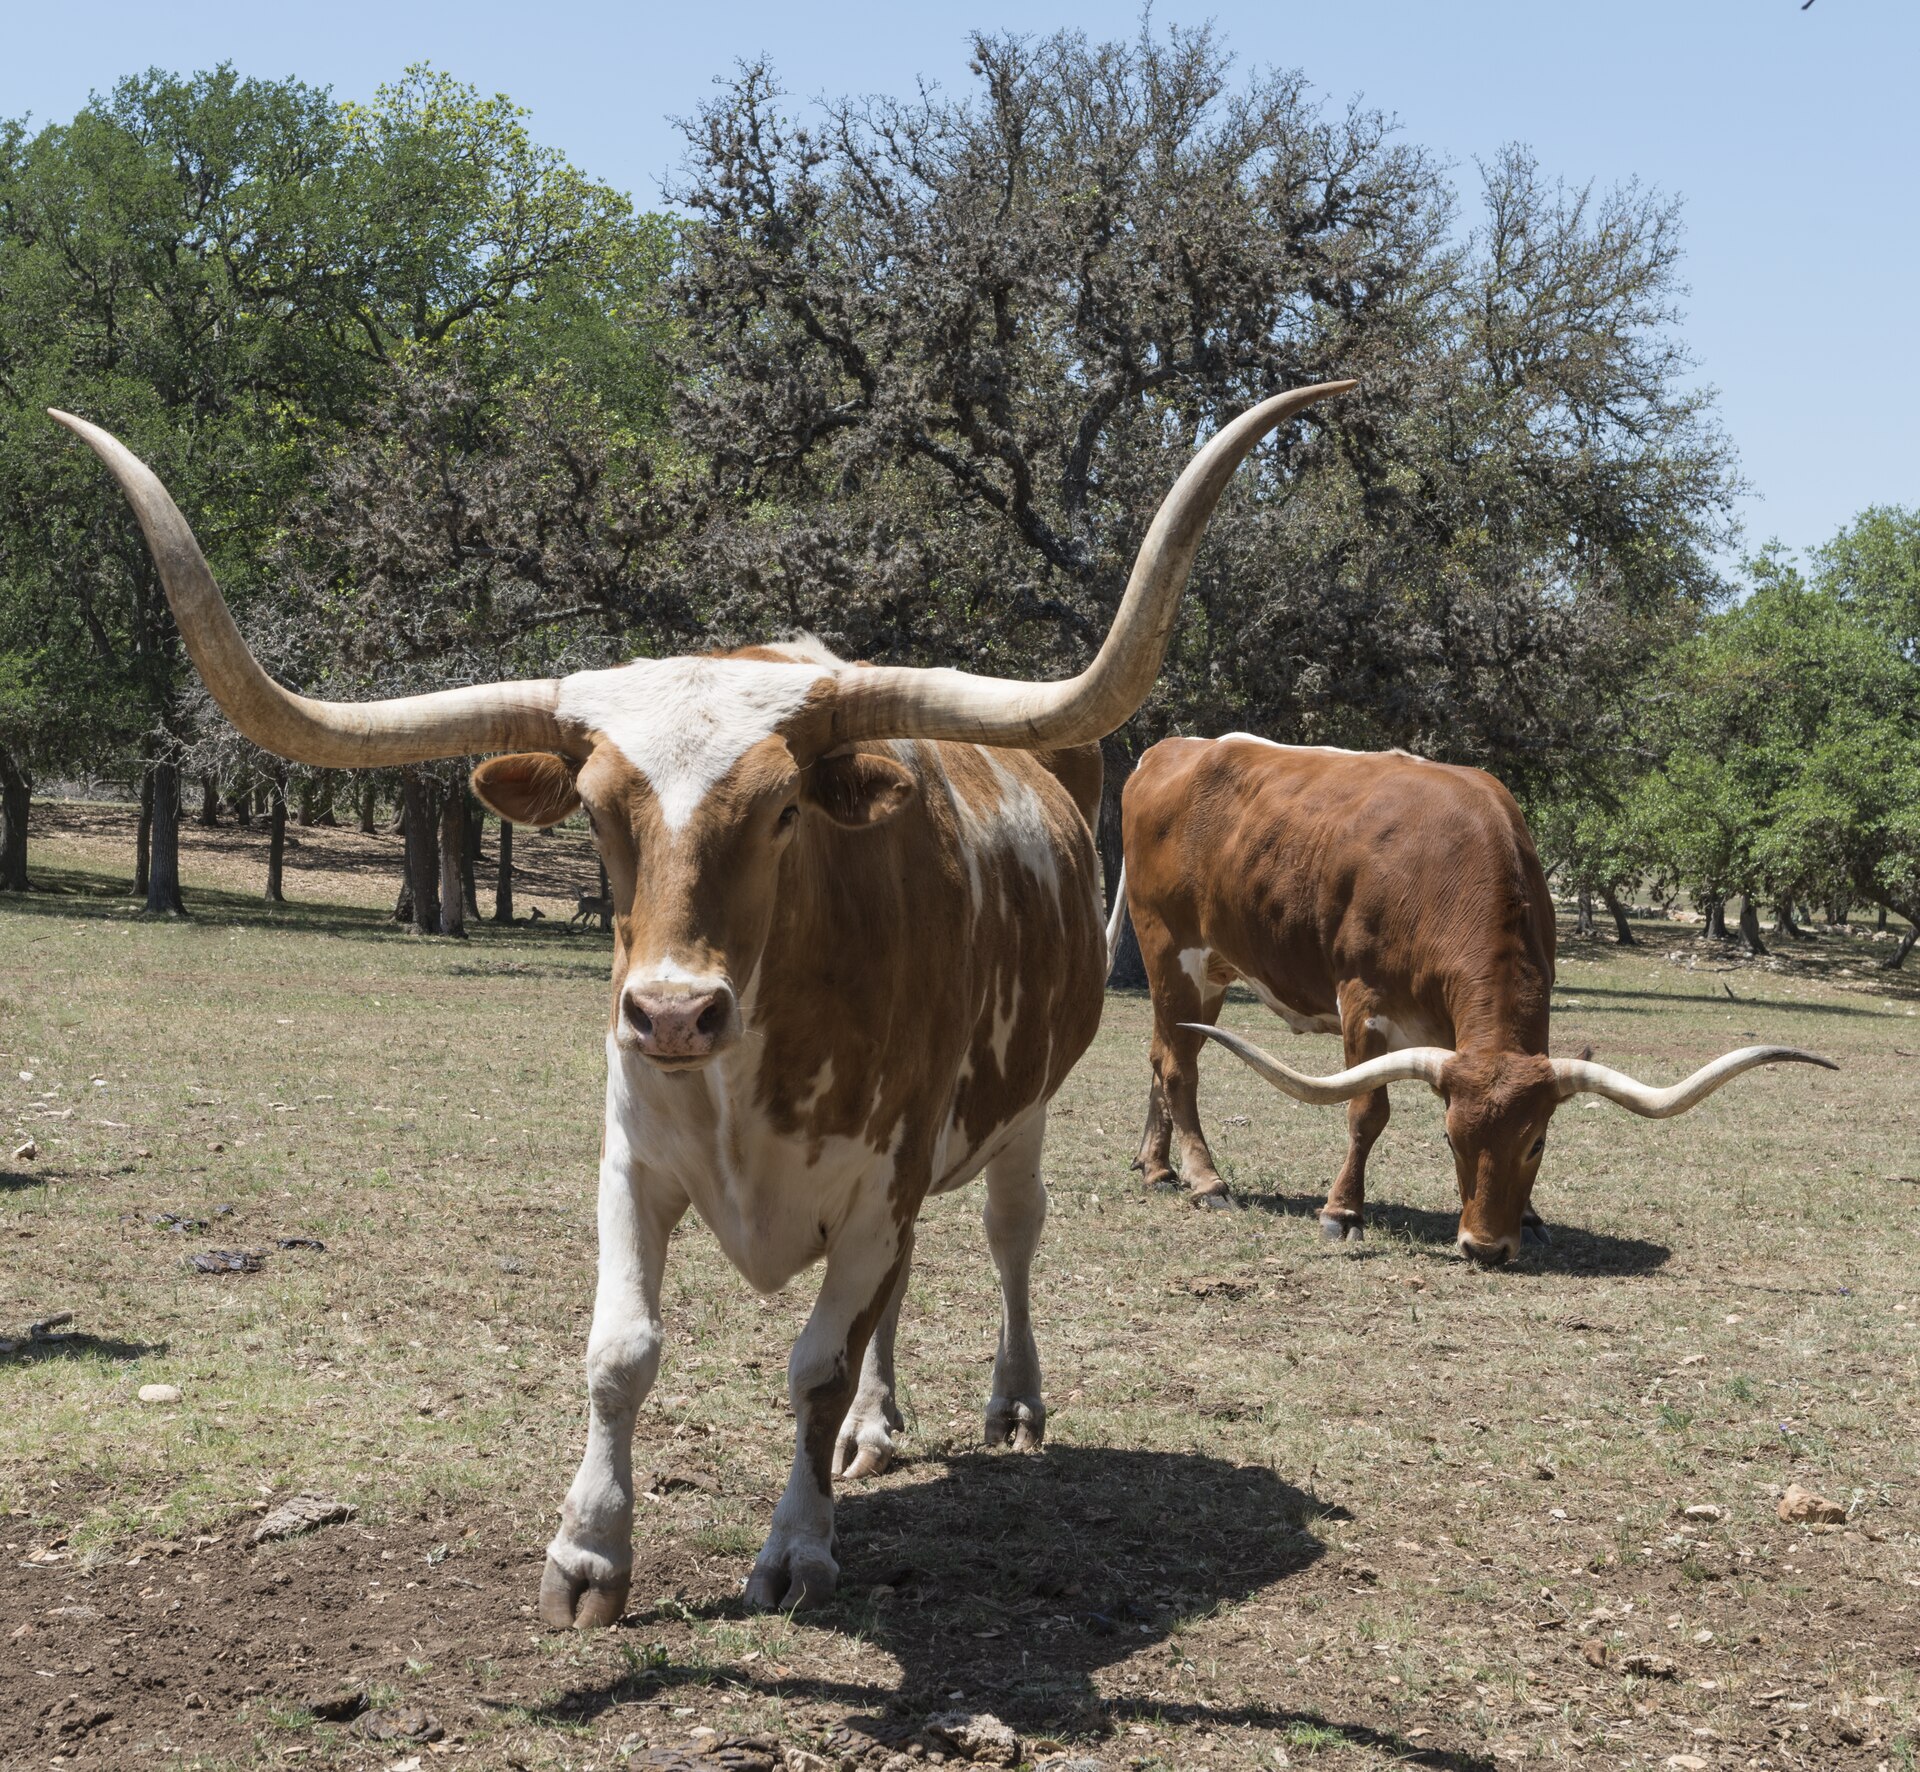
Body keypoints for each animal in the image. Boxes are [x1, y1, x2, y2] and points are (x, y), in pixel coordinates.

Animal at [53, 378, 1354, 1623]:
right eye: (594, 807)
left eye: (782, 808)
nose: (674, 1013)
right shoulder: (634, 1158)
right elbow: (622, 1351)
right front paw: (588, 1550)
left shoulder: (881, 1178)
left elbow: (815, 1360)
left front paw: (798, 1548)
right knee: (898, 1294)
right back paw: (875, 1430)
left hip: (1024, 1107)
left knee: (1007, 1235)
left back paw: (1012, 1401)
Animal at [1116, 736, 1835, 1262]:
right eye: (1449, 1137)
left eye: (1537, 1143)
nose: (1485, 1247)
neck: (1445, 870)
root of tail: (1167, 751)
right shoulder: (1361, 1002)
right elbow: (1366, 1112)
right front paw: (1342, 1210)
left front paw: (1534, 1217)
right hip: (1169, 950)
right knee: (1179, 1068)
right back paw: (1207, 1180)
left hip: (1210, 969)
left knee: (1162, 1054)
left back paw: (1155, 1167)